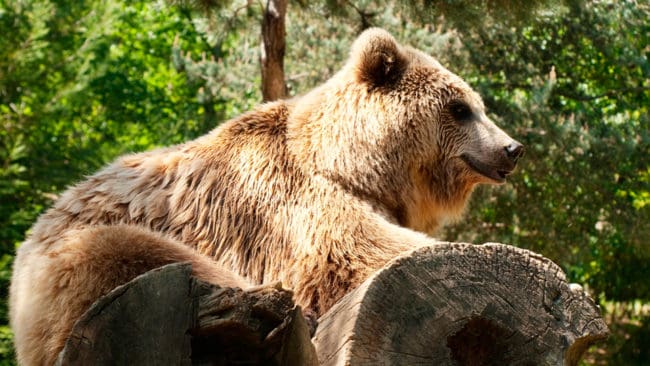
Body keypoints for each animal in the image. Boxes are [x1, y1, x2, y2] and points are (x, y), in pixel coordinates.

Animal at [8, 27, 520, 364]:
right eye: (460, 108)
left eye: (478, 105)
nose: (511, 148)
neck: (353, 167)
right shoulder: (282, 204)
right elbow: (355, 252)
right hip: (77, 265)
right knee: (135, 254)